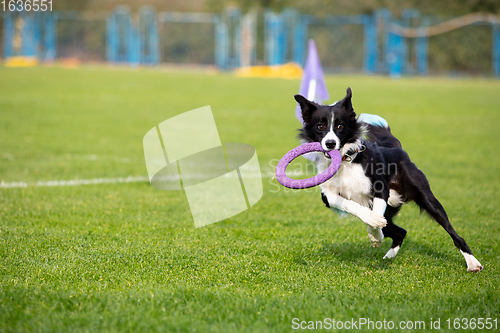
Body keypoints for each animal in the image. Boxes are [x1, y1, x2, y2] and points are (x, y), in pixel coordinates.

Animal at [294, 87, 482, 272]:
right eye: (320, 126)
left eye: (340, 126)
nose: (330, 143)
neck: (345, 161)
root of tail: (395, 148)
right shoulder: (328, 196)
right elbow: (353, 206)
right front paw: (374, 228)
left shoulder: (380, 188)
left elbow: (376, 215)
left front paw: (375, 234)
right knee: (400, 231)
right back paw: (388, 257)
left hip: (426, 197)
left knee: (452, 232)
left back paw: (473, 264)